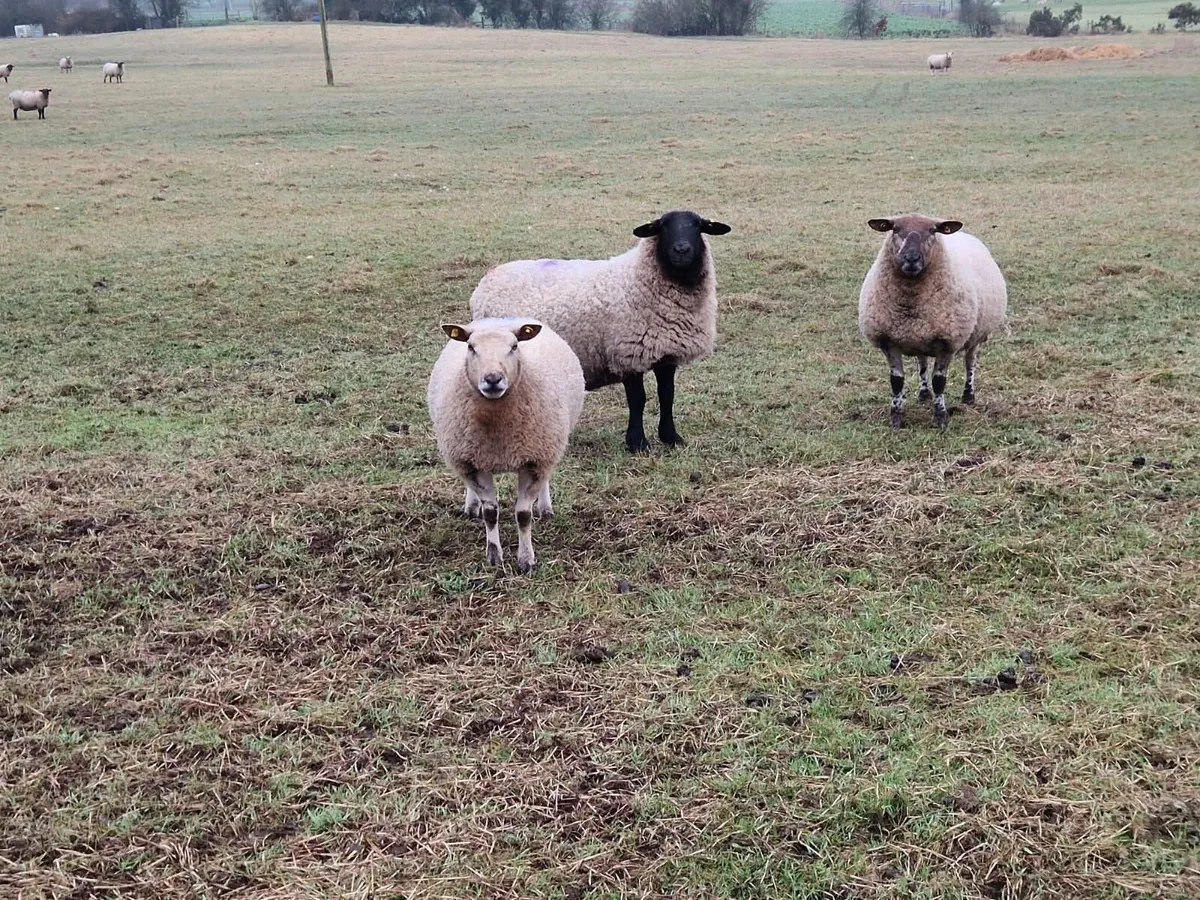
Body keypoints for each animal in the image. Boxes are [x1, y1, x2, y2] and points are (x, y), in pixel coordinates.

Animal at [426, 318, 585, 573]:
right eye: (470, 347)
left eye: (514, 346)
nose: (492, 379)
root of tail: (502, 318)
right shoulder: (473, 461)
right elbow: (490, 513)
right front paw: (494, 557)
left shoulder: (534, 459)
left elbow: (523, 515)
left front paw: (526, 560)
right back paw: (471, 507)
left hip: (549, 443)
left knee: (545, 479)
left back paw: (546, 509)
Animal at [468, 210, 732, 454]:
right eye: (662, 227)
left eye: (698, 225)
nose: (681, 250)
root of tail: (487, 279)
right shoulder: (627, 352)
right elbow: (638, 400)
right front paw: (637, 443)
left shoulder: (666, 354)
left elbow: (667, 395)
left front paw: (671, 437)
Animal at [858, 214, 1007, 430]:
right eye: (895, 229)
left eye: (932, 231)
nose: (911, 258)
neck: (910, 301)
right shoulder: (888, 341)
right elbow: (896, 381)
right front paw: (896, 417)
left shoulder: (948, 342)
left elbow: (939, 381)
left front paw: (940, 417)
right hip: (920, 336)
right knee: (922, 362)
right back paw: (923, 393)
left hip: (976, 334)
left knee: (970, 362)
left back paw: (968, 395)